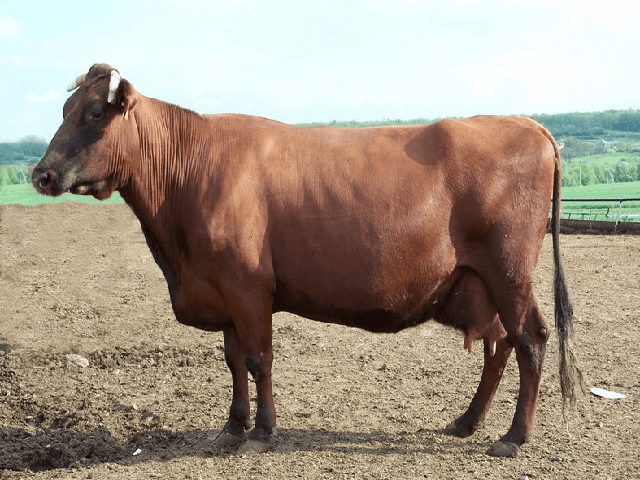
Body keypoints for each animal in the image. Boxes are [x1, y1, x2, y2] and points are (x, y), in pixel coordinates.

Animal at [31, 63, 582, 458]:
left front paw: (262, 431)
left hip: (509, 273)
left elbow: (259, 359)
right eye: (64, 108)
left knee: (530, 338)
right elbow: (233, 360)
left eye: (94, 114)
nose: (41, 174)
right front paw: (232, 427)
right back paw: (467, 422)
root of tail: (526, 123)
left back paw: (513, 438)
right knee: (499, 345)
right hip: (480, 284)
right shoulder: (224, 291)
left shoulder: (249, 288)